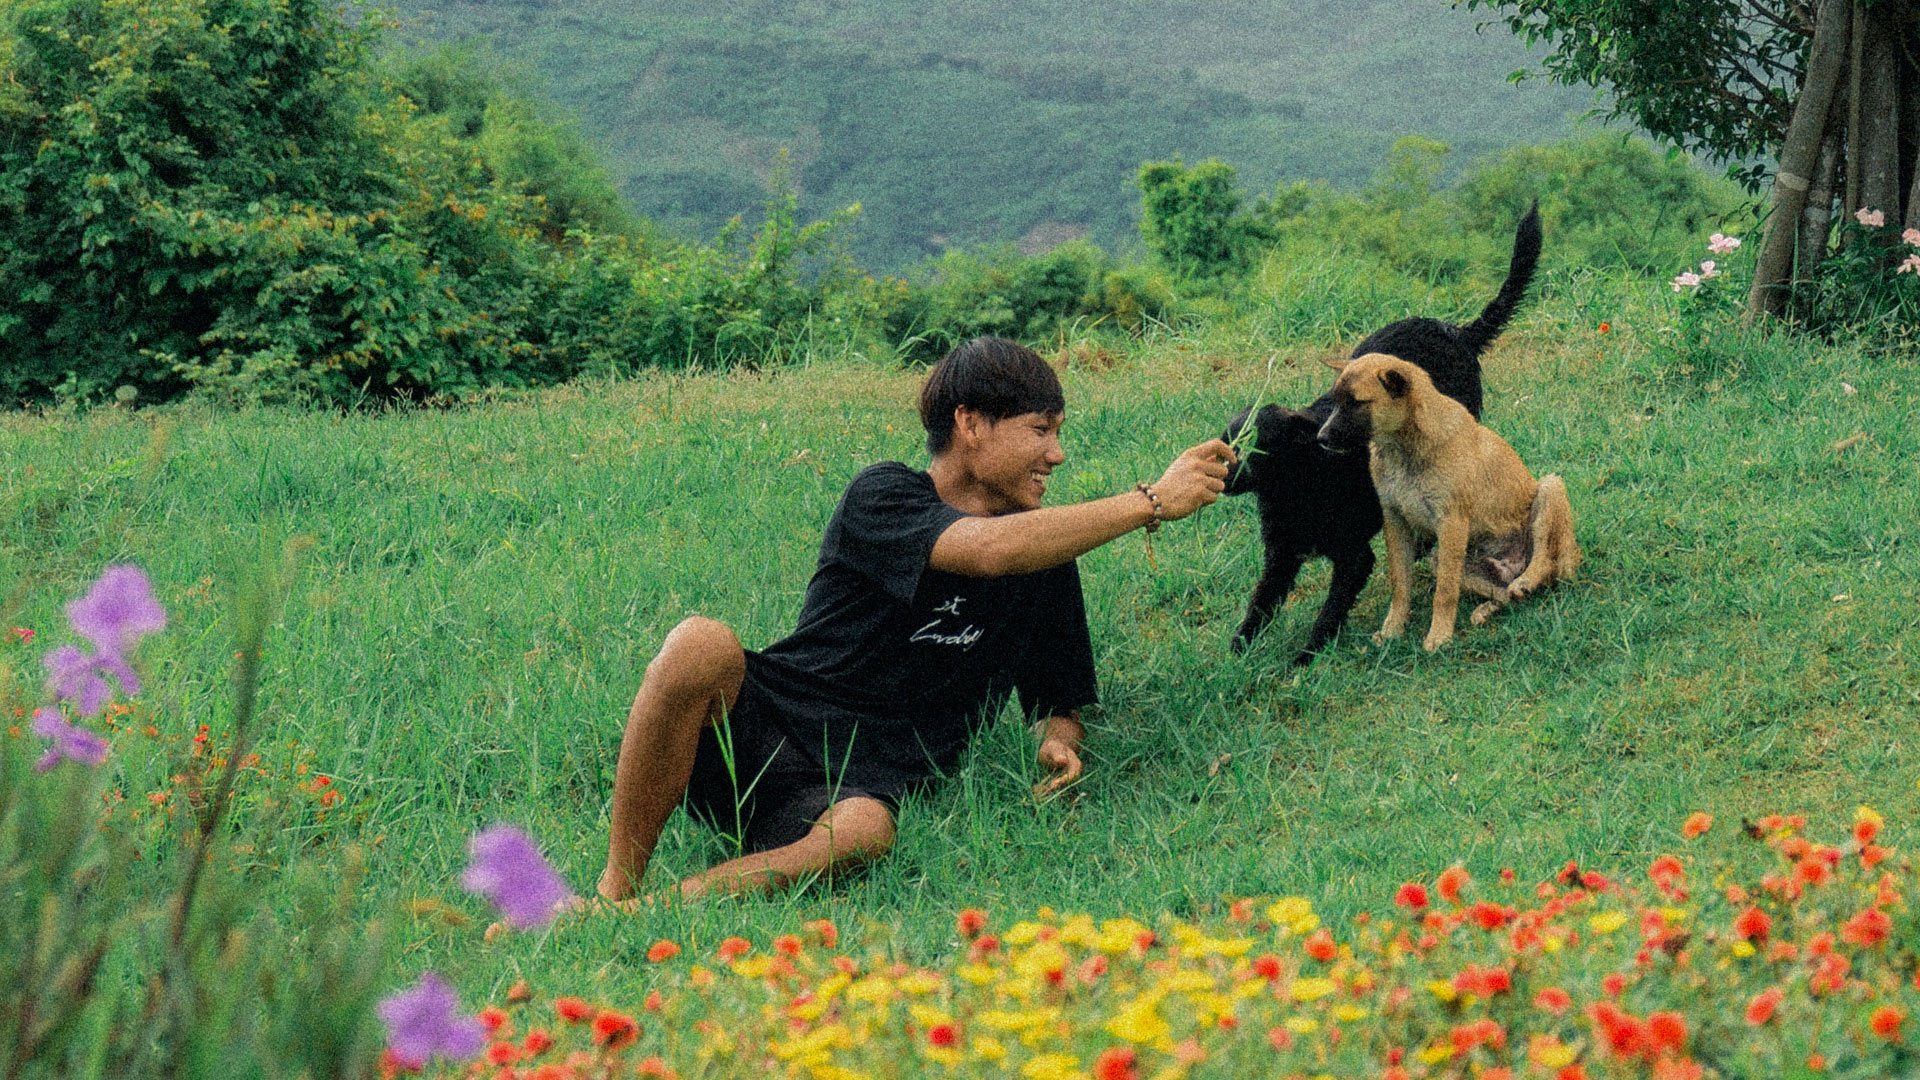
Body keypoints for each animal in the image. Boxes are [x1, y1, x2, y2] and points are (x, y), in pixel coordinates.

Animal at [1228, 199, 1543, 657]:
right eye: (1225, 443)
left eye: (1258, 447)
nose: (1222, 478)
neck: (1302, 482)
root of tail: (1456, 330)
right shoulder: (1282, 555)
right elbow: (1259, 605)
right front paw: (1238, 654)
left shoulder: (1354, 557)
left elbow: (1329, 613)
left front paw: (1306, 658)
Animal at [1313, 353, 1582, 645]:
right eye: (1336, 402)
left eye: (1356, 403)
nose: (1321, 438)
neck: (1404, 450)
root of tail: (1514, 566)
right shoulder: (1396, 524)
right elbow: (1400, 584)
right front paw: (1393, 629)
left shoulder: (1451, 524)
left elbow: (1445, 592)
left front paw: (1439, 636)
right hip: (1443, 560)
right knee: (1506, 595)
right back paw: (1490, 607)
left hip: (1550, 488)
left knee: (1545, 560)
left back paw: (1528, 580)